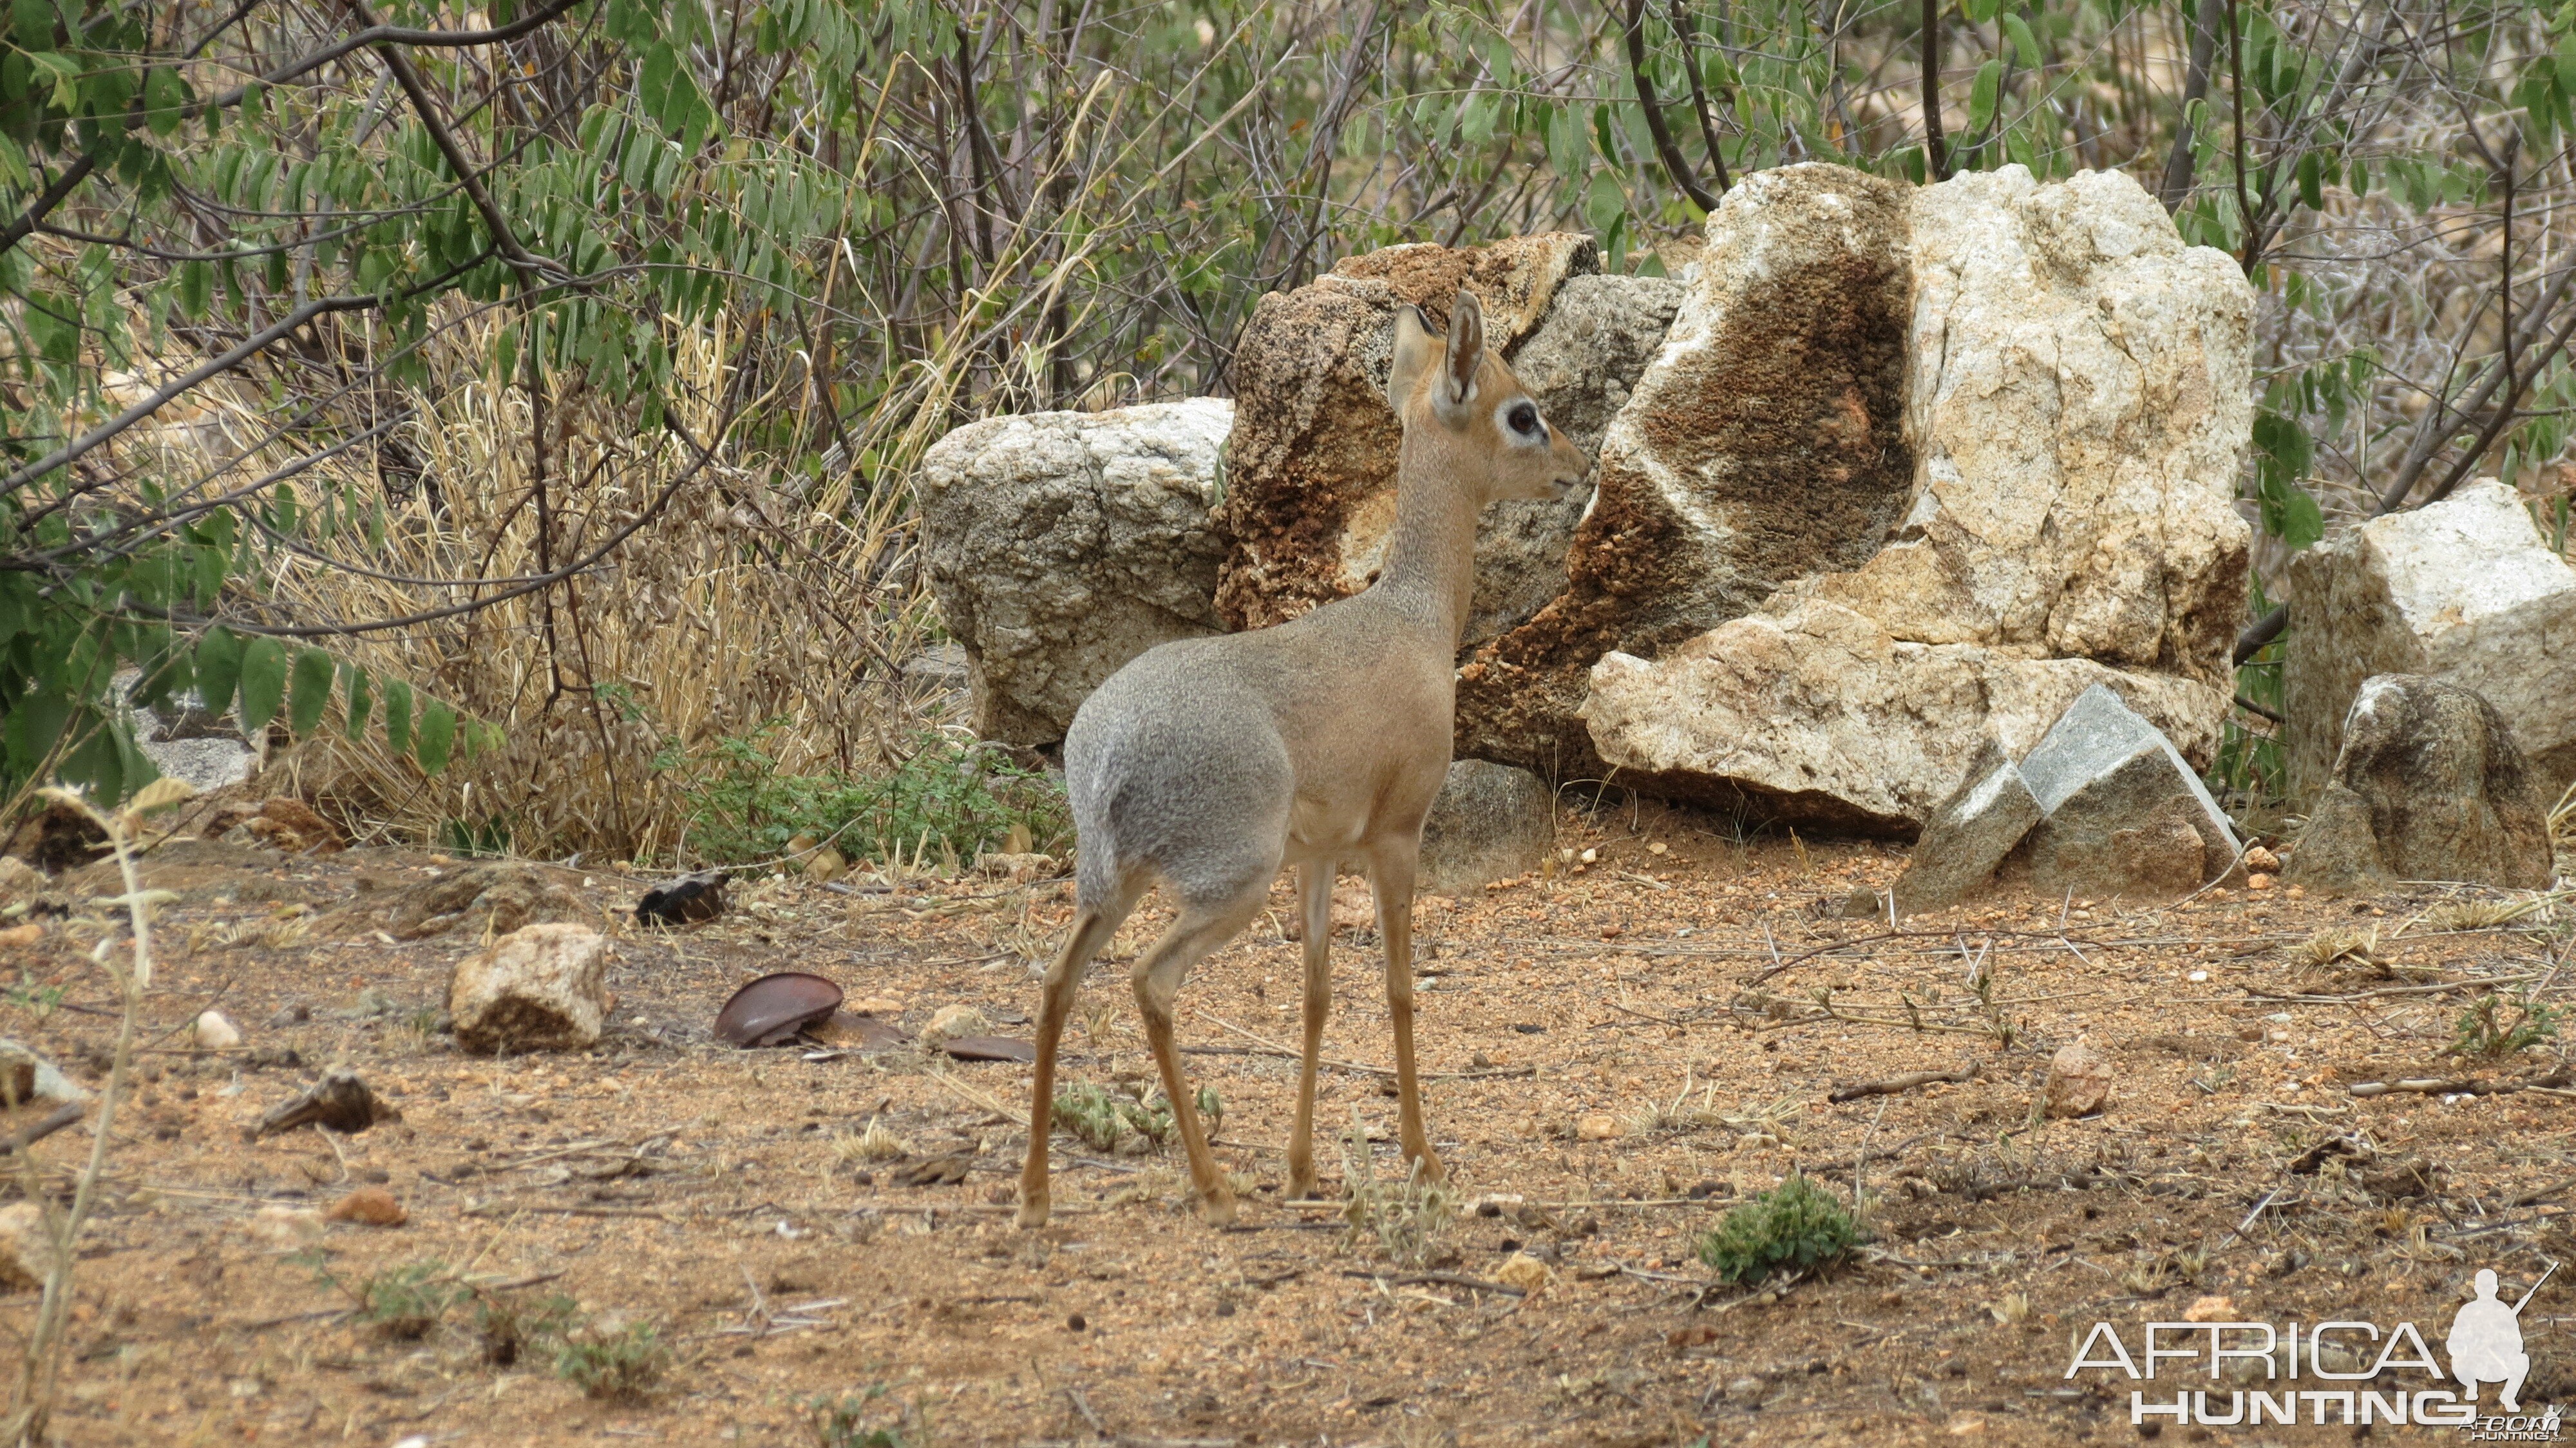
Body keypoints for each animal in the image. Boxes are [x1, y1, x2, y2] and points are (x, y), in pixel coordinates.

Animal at [1020, 290, 1587, 1216]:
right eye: (1523, 414)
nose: (1579, 466)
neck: (1415, 618)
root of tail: (1104, 753)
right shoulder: (1398, 837)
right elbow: (1399, 988)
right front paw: (1422, 1155)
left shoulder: (1318, 857)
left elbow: (1316, 996)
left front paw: (1302, 1165)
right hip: (1226, 884)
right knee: (1148, 982)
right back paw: (1211, 1183)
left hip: (1117, 884)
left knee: (1057, 981)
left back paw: (1036, 1194)